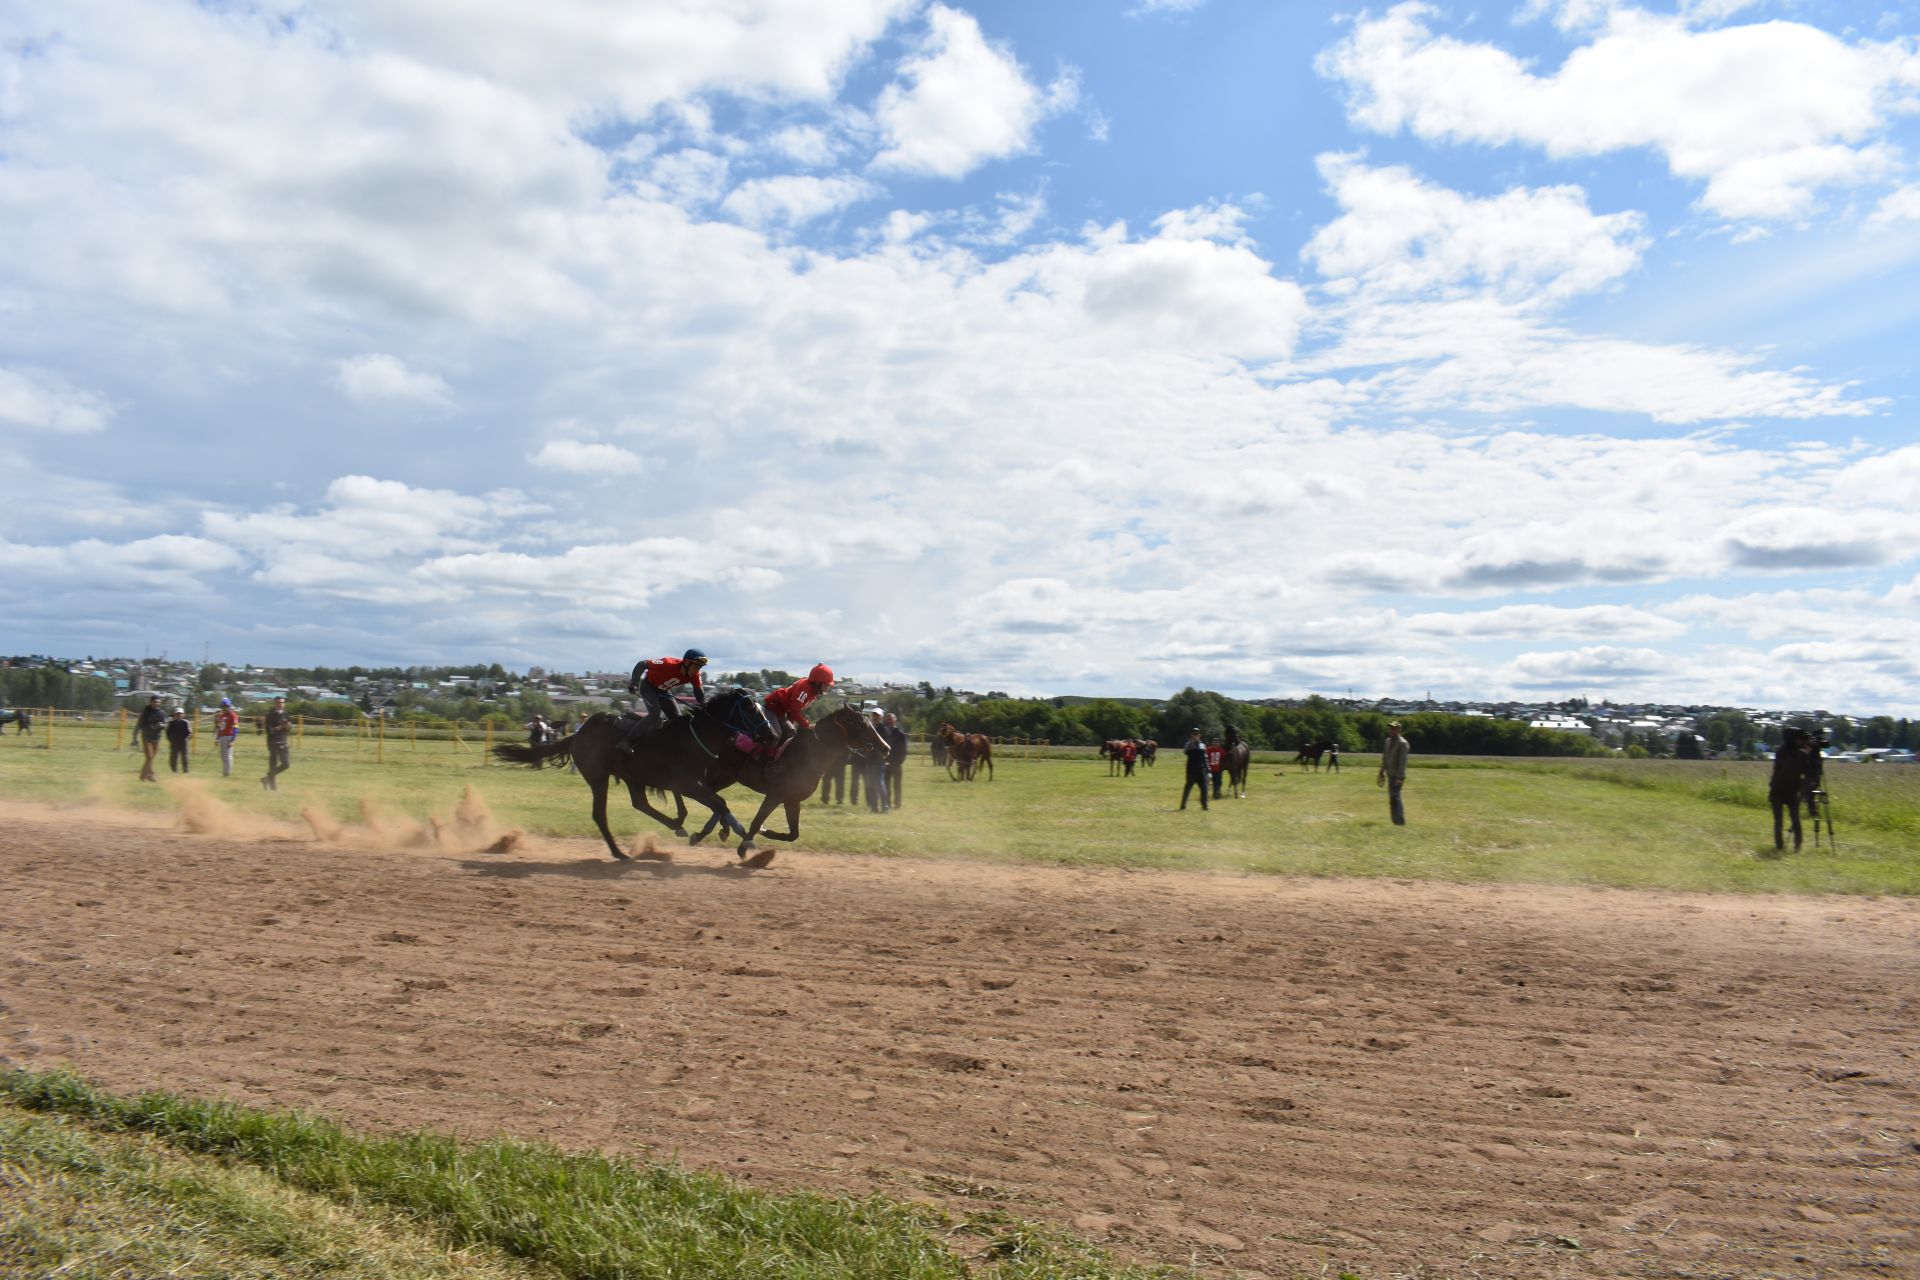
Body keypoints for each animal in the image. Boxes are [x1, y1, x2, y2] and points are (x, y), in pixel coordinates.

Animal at [491, 694, 775, 867]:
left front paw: (728, 834)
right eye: (752, 709)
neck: (698, 735)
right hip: (599, 777)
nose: (772, 735)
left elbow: (718, 803)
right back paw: (619, 852)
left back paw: (674, 826)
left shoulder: (694, 782)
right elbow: (719, 803)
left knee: (640, 803)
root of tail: (578, 735)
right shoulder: (687, 783)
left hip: (631, 776)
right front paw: (734, 836)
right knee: (600, 814)